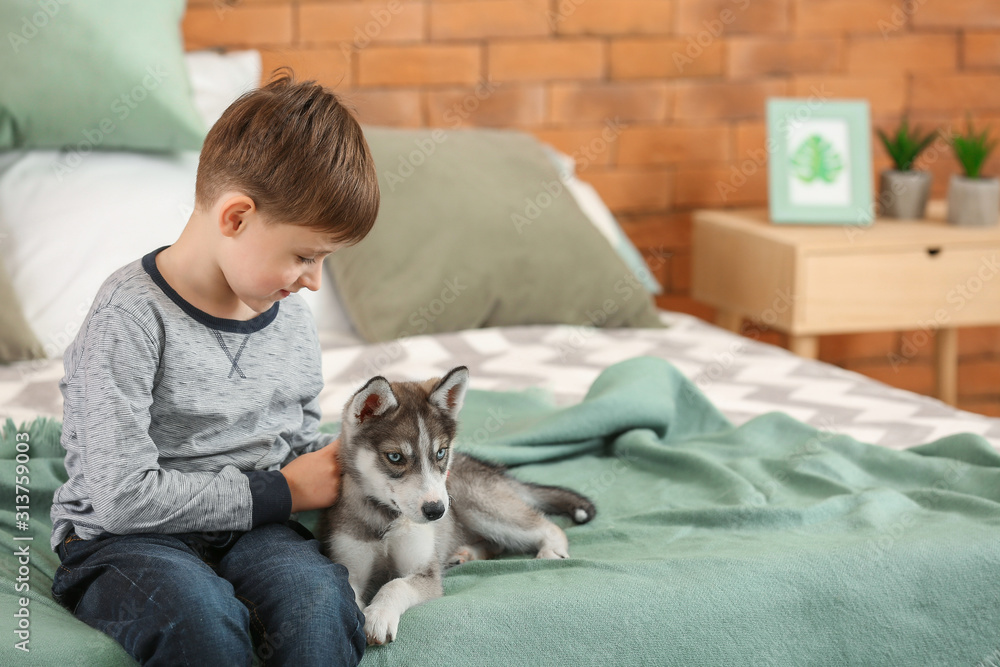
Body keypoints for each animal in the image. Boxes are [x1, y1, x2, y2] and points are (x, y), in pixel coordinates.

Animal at [318, 368, 592, 644]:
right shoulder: (350, 567)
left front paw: (379, 615)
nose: (436, 511)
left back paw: (551, 551)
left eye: (440, 453)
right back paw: (465, 554)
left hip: (478, 506)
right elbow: (349, 595)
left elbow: (395, 584)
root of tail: (488, 467)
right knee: (499, 543)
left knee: (547, 527)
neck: (388, 519)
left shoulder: (426, 573)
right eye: (395, 457)